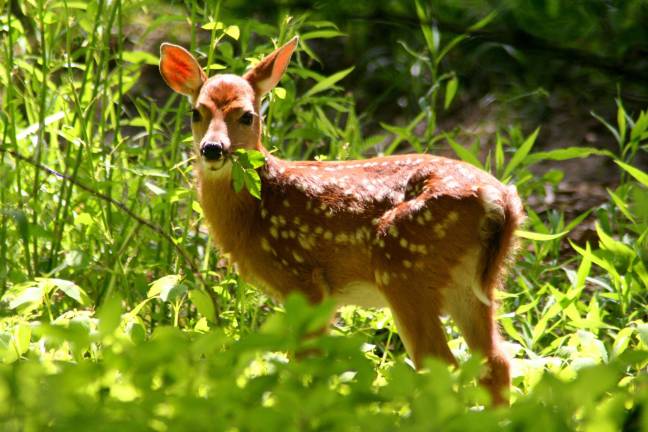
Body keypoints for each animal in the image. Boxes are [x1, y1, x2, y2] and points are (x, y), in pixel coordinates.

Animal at [159, 36, 524, 405]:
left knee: (441, 365)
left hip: (405, 270)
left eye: (247, 115)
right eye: (196, 112)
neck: (256, 211)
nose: (212, 149)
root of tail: (498, 199)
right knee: (495, 361)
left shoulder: (305, 280)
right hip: (474, 285)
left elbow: (304, 362)